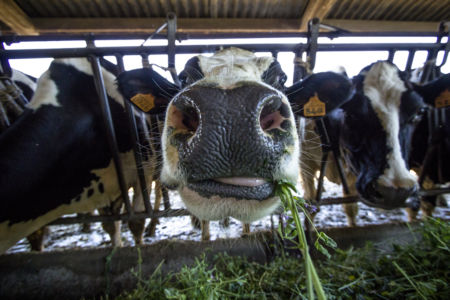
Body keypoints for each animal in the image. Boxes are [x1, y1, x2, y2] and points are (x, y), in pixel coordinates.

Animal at [298, 60, 426, 225]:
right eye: (351, 113)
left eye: (419, 112)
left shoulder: (353, 173)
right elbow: (310, 205)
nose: (394, 192)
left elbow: (351, 208)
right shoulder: (304, 162)